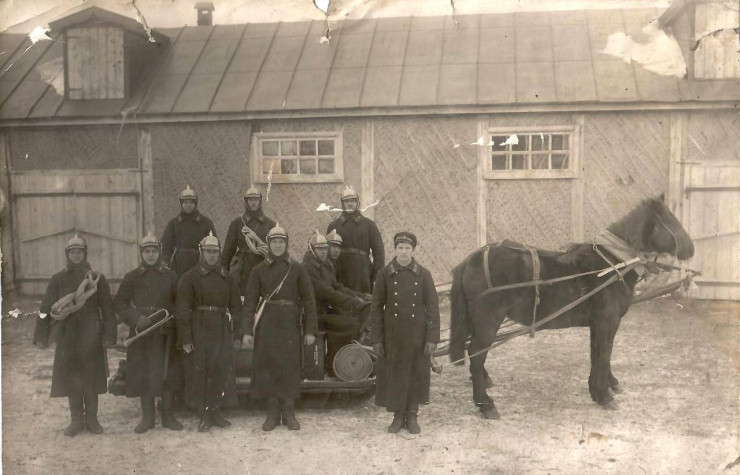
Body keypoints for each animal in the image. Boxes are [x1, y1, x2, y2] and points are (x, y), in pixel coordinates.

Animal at [448, 194, 694, 419]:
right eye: (670, 220)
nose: (691, 248)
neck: (612, 264)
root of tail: (468, 261)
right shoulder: (608, 321)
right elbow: (604, 353)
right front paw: (604, 395)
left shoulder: (598, 324)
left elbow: (597, 354)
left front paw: (600, 389)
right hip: (489, 322)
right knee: (476, 355)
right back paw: (485, 404)